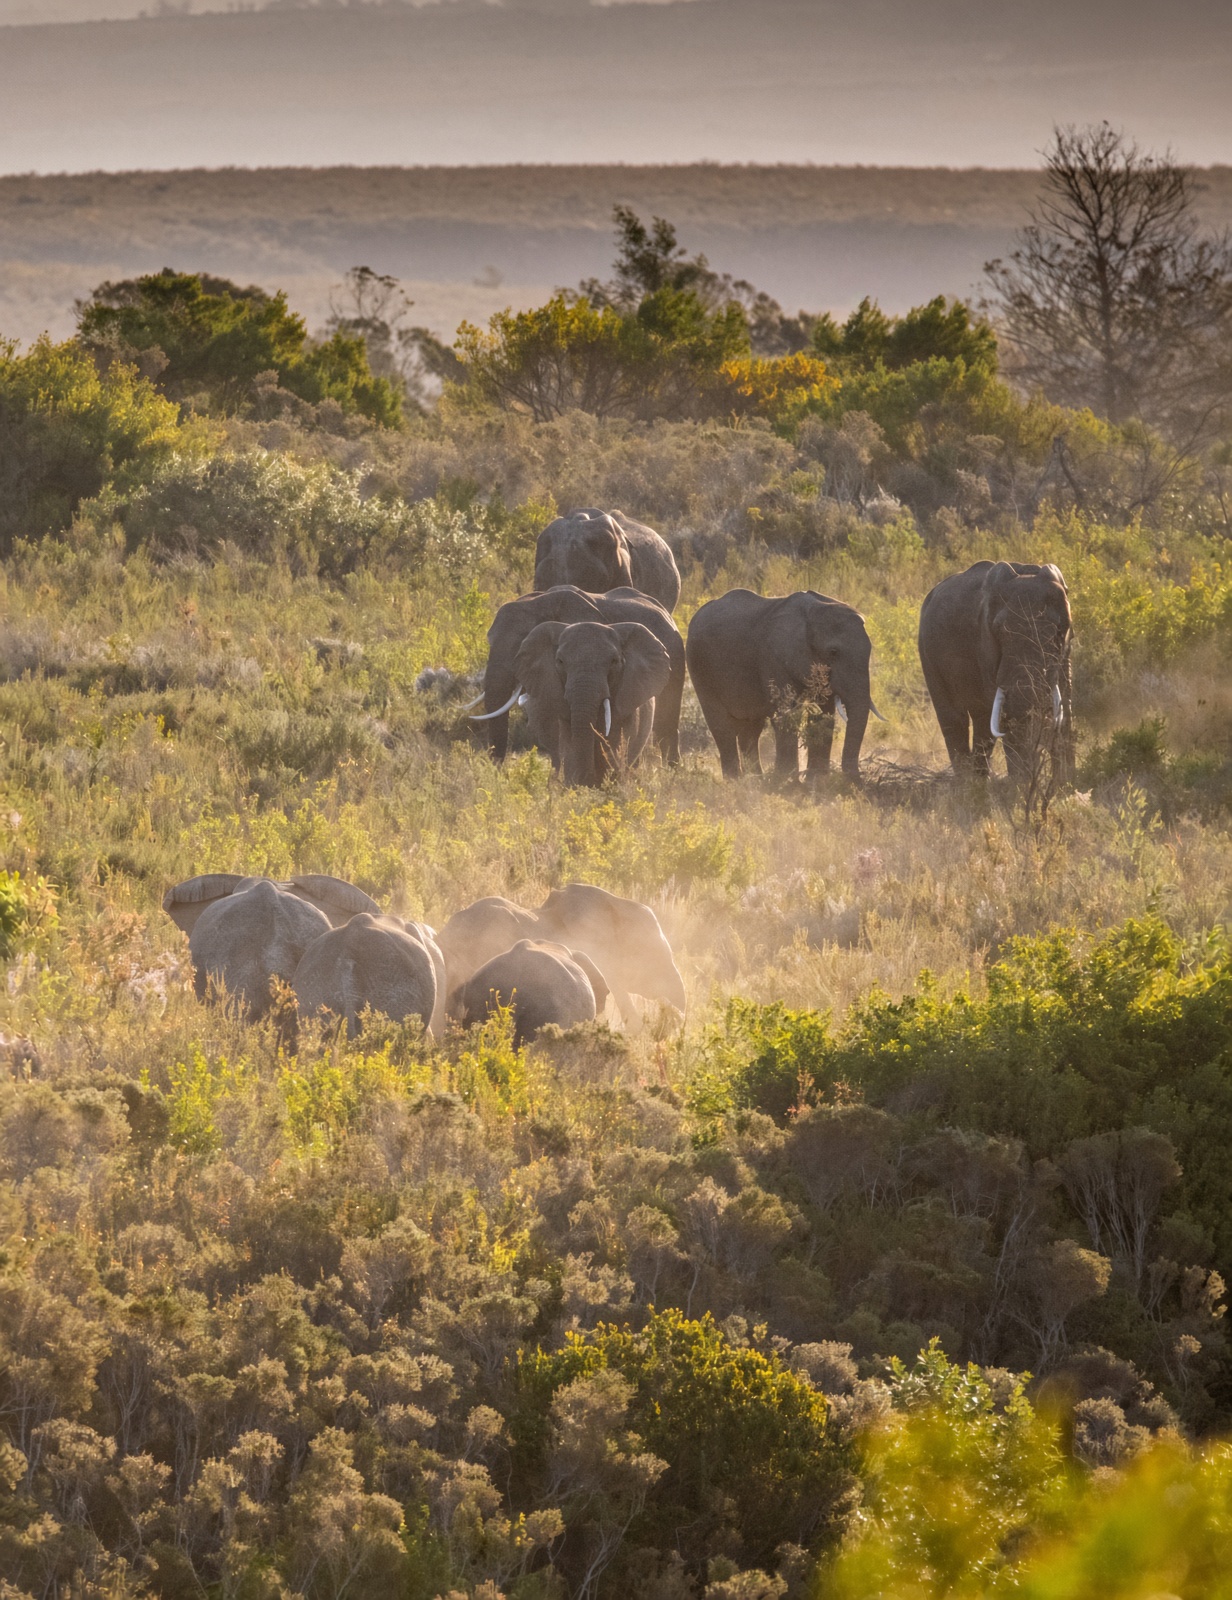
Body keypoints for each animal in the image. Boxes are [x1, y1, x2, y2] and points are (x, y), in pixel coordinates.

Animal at [508, 619, 671, 786]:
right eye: (560, 661)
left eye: (614, 661)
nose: (589, 781)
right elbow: (569, 743)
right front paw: (575, 786)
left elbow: (617, 740)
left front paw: (610, 784)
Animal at [685, 589, 880, 780]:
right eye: (833, 652)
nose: (859, 778)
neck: (813, 612)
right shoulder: (774, 658)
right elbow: (786, 712)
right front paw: (788, 782)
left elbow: (824, 713)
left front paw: (816, 781)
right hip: (699, 666)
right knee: (721, 726)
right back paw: (736, 781)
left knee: (751, 728)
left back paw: (755, 779)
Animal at [918, 560, 1074, 783]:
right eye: (998, 632)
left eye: (1059, 631)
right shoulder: (984, 647)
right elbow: (1006, 716)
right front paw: (1021, 787)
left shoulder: (1065, 652)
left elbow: (1064, 704)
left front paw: (1064, 786)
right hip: (928, 653)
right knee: (955, 718)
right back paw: (967, 785)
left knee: (982, 722)